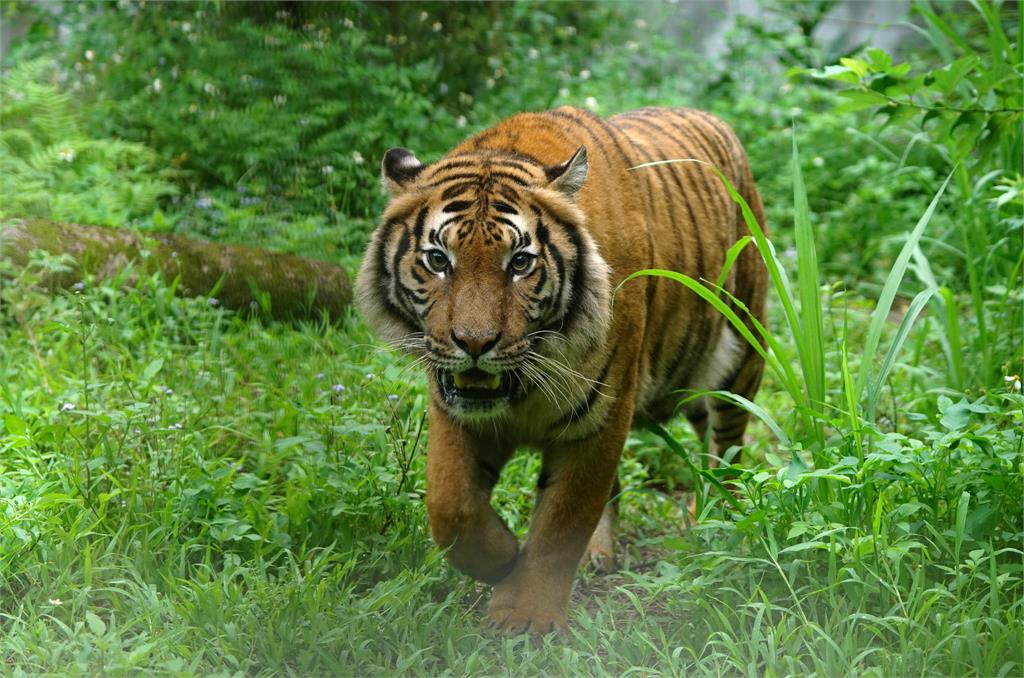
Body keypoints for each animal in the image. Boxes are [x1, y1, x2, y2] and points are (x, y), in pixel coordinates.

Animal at [356, 106, 765, 639]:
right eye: (438, 260)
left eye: (520, 263)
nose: (474, 343)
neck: (523, 384)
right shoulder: (454, 411)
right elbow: (450, 506)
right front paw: (503, 558)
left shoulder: (600, 417)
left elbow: (562, 520)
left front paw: (524, 616)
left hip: (740, 354)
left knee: (727, 448)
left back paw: (716, 521)